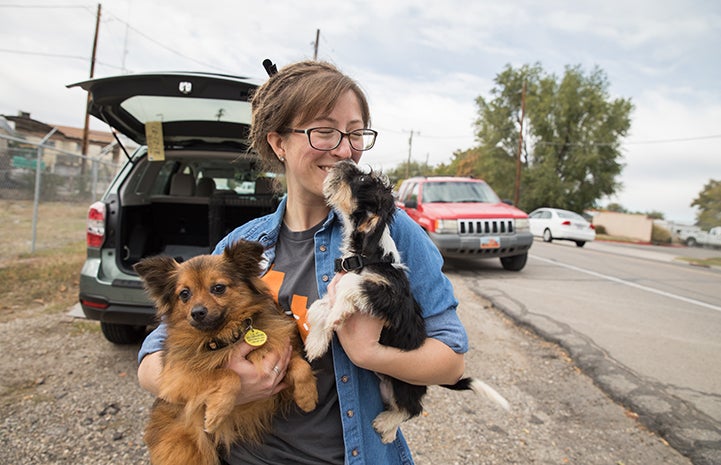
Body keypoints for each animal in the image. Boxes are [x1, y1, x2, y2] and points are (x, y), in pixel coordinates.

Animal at [133, 239, 318, 464]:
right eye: (184, 294)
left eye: (218, 288)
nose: (197, 312)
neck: (227, 336)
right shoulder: (176, 377)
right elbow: (228, 375)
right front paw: (216, 413)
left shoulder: (280, 369)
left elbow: (301, 365)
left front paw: (307, 397)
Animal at [306, 160, 510, 442]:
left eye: (362, 180)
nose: (342, 162)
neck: (368, 256)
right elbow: (318, 307)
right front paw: (316, 342)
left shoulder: (389, 298)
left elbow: (352, 285)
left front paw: (337, 315)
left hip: (402, 385)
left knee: (412, 409)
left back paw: (386, 426)